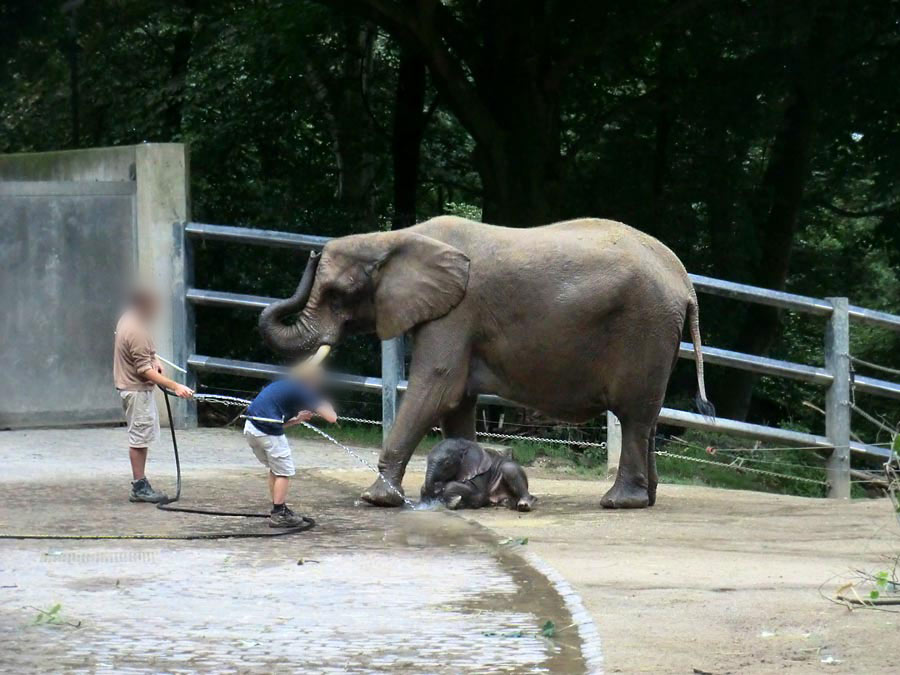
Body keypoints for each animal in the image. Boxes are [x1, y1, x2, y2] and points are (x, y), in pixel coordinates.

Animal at [258, 217, 712, 508]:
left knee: (633, 416)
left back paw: (619, 503)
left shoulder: (457, 312)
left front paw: (376, 498)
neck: (395, 237)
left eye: (340, 293)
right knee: (647, 418)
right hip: (658, 335)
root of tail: (684, 280)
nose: (312, 253)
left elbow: (437, 387)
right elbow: (457, 403)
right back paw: (646, 498)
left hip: (645, 328)